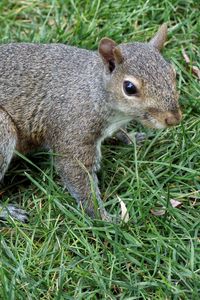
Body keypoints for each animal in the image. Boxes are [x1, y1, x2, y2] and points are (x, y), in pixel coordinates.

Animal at [0, 24, 182, 223]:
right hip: (3, 131)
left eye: (173, 73)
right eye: (129, 88)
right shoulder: (74, 131)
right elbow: (77, 174)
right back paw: (7, 211)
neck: (94, 89)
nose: (174, 118)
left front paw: (133, 138)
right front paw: (106, 219)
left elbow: (120, 132)